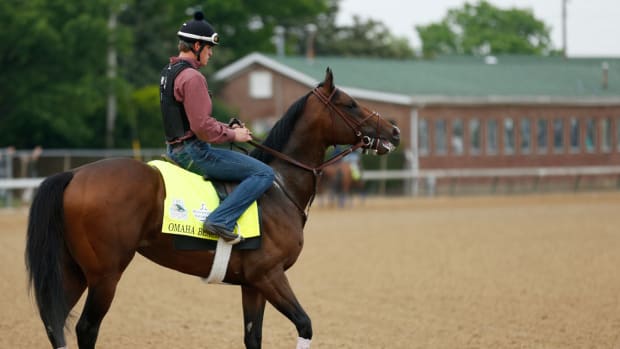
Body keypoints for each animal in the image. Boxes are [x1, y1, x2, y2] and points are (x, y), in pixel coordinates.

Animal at [25, 68, 402, 348]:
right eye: (350, 104)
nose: (395, 131)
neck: (279, 185)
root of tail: (74, 174)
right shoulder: (270, 274)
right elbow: (305, 324)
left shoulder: (253, 284)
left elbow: (253, 337)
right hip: (105, 275)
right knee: (86, 328)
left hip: (73, 270)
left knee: (55, 323)